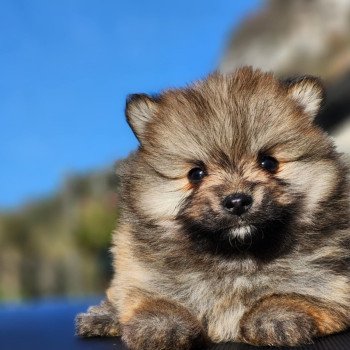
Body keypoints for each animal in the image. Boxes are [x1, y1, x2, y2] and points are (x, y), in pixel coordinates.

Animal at [76, 67, 350, 348]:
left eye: (269, 163)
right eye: (196, 174)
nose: (237, 201)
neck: (236, 257)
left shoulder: (331, 284)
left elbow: (295, 294)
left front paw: (276, 317)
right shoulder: (143, 276)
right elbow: (154, 300)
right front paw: (161, 324)